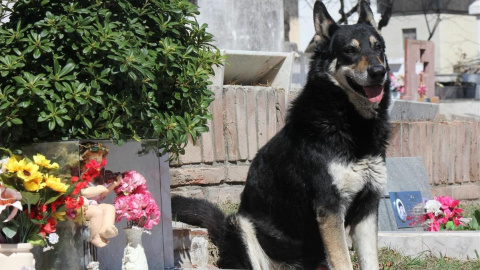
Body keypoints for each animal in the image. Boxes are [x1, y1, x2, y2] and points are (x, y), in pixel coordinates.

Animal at [172, 1, 390, 268]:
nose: (379, 71)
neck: (351, 121)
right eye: (350, 50)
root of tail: (221, 231)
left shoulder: (368, 208)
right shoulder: (330, 209)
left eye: (378, 47)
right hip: (241, 225)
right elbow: (343, 262)